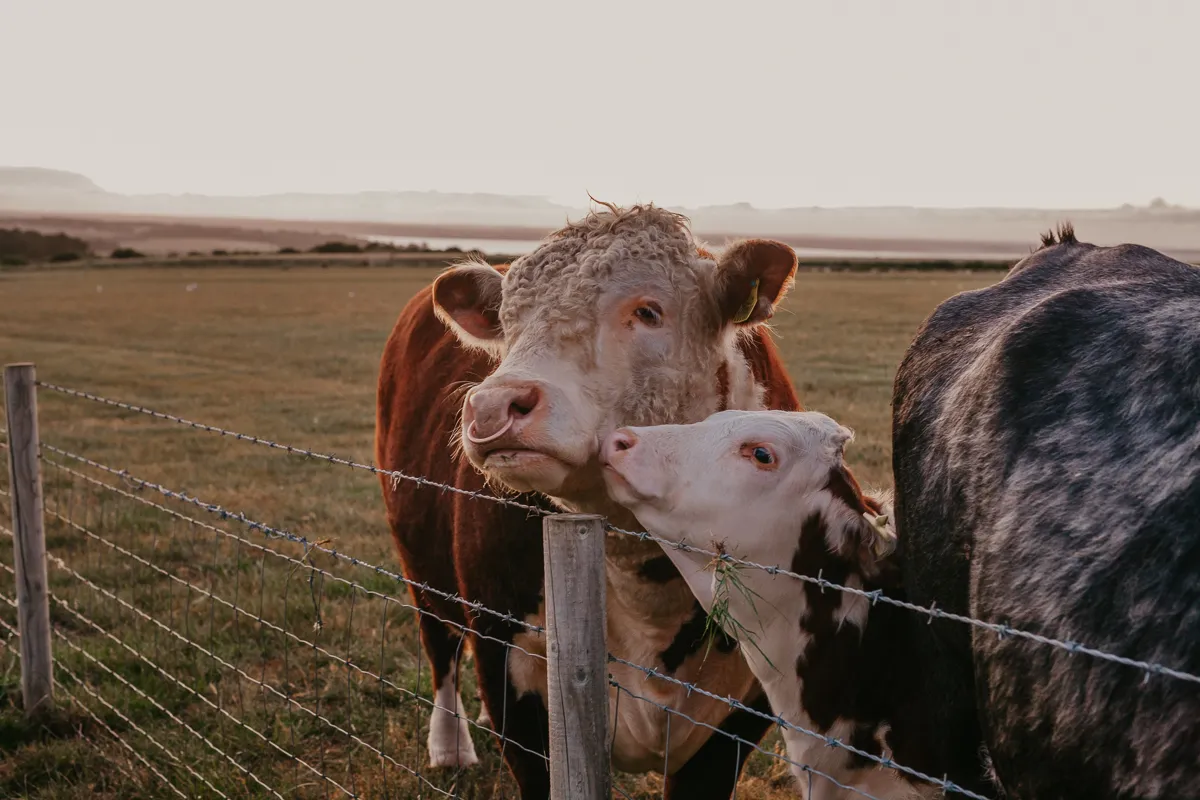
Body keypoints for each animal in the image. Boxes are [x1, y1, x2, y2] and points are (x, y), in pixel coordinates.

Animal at [375, 203, 804, 798]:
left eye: (648, 311)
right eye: (507, 320)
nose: (493, 404)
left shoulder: (738, 717)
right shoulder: (509, 670)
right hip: (418, 558)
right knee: (440, 645)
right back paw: (450, 745)